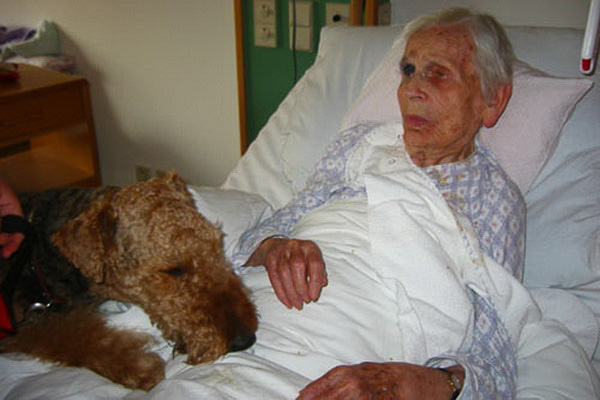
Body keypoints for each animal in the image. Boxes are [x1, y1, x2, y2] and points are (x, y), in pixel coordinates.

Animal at [0, 172, 258, 390]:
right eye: (173, 270)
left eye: (217, 244)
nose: (245, 339)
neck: (37, 256)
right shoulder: (31, 323)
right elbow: (76, 336)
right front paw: (139, 367)